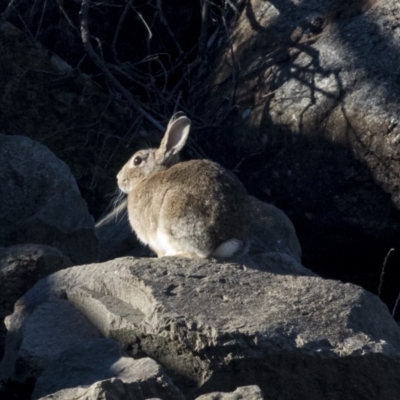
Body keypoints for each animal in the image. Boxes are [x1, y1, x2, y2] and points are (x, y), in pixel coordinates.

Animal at [115, 111, 248, 260]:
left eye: (137, 160)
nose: (118, 179)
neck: (149, 176)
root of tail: (225, 240)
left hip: (174, 215)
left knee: (200, 253)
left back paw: (173, 254)